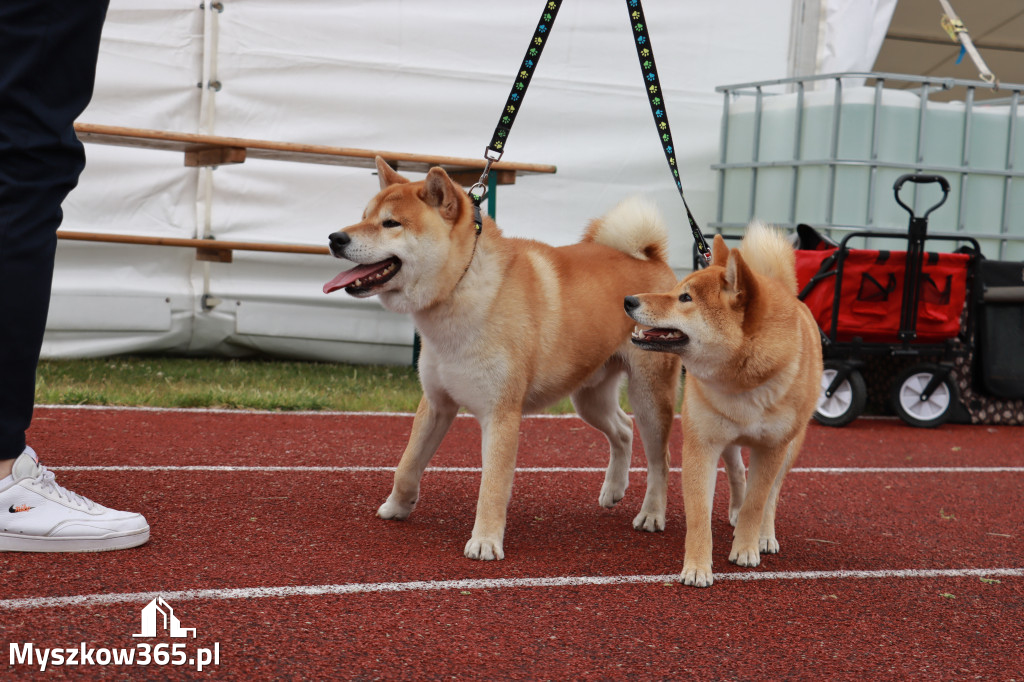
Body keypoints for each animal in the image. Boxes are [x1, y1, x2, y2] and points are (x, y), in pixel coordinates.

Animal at [323, 156, 684, 561]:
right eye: (364, 216)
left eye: (391, 223)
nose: (335, 238)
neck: (461, 289)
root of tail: (653, 260)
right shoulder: (436, 402)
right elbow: (407, 463)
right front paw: (397, 507)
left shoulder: (501, 415)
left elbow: (492, 486)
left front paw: (485, 541)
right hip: (589, 397)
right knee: (621, 429)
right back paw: (613, 490)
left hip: (649, 396)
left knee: (661, 461)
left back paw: (652, 514)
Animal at [618, 224, 819, 585]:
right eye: (676, 289)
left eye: (685, 298)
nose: (629, 300)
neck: (742, 382)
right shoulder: (702, 444)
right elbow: (700, 514)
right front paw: (697, 567)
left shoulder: (772, 448)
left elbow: (758, 500)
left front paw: (746, 549)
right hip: (728, 439)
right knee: (738, 472)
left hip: (790, 447)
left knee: (772, 495)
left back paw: (764, 535)